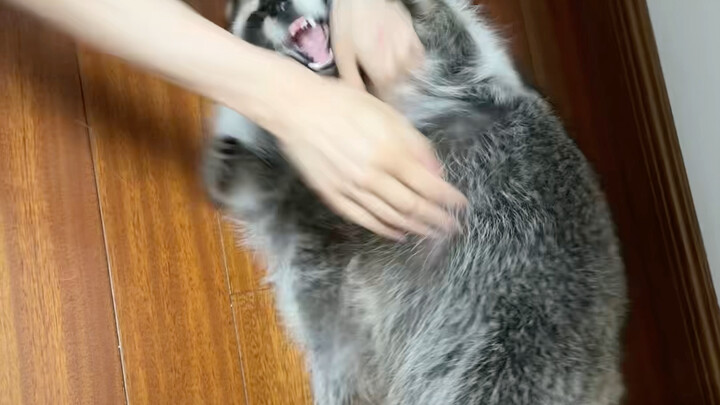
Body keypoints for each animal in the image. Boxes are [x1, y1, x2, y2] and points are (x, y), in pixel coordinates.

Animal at [203, 1, 628, 404]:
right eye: (256, 15)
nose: (276, 6)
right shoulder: (308, 210)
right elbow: (276, 192)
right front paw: (247, 174)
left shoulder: (468, 78)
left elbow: (453, 44)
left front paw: (419, 8)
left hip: (521, 343)